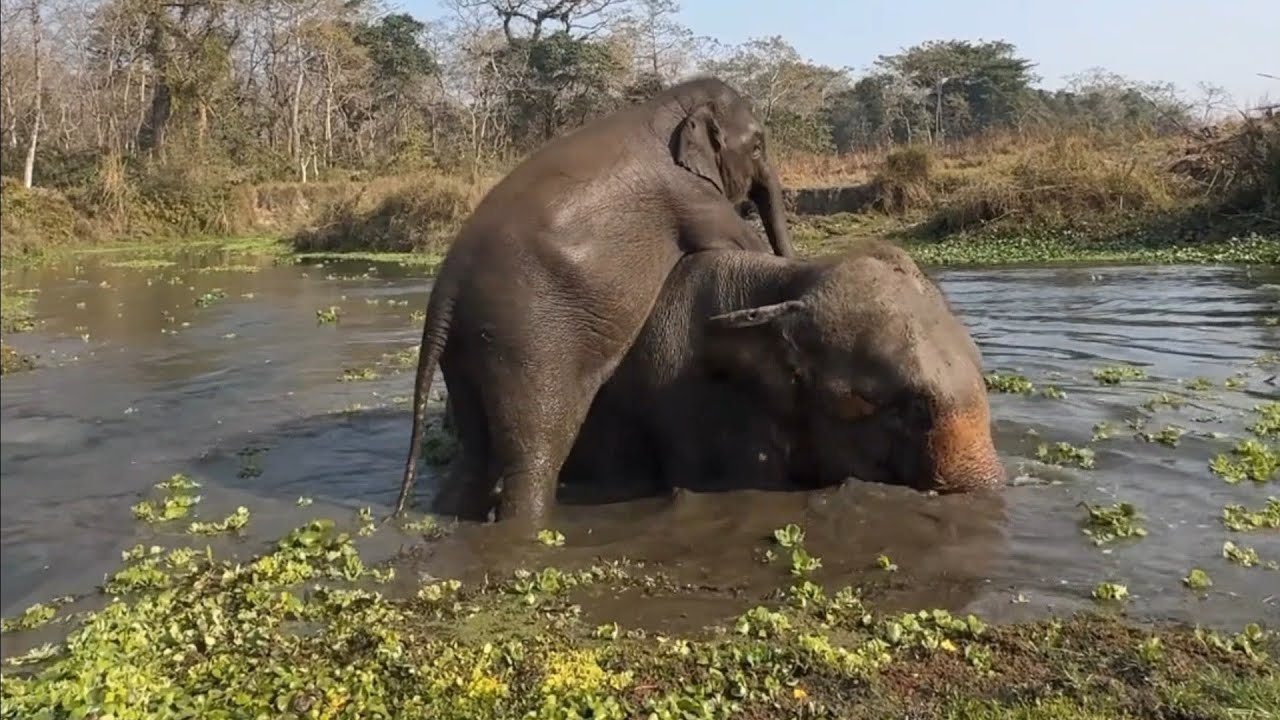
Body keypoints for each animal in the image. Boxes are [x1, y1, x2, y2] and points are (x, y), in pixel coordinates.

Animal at [395, 76, 793, 527]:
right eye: (757, 146)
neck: (669, 106)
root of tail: (444, 296)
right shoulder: (692, 196)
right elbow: (742, 244)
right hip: (526, 346)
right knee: (534, 457)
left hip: (466, 351)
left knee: (475, 458)